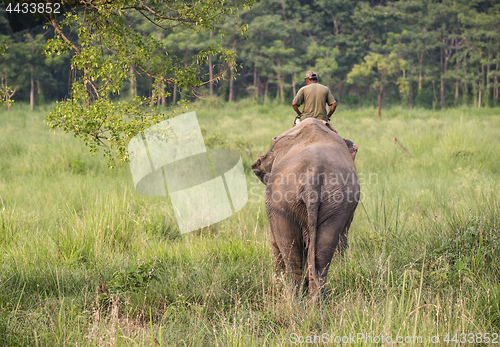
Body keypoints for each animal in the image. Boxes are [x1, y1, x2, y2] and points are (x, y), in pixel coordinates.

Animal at [254, 118, 360, 294]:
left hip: (282, 202)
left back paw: (295, 296)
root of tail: (313, 174)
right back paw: (316, 297)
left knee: (291, 254)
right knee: (322, 256)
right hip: (335, 201)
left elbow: (273, 240)